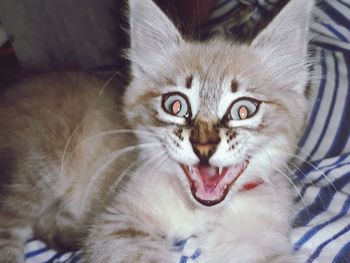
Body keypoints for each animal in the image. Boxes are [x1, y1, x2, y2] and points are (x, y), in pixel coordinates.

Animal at [0, 0, 312, 263]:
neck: (201, 210)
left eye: (243, 110)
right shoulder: (118, 222)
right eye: (175, 105)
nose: (203, 147)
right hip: (35, 169)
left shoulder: (257, 237)